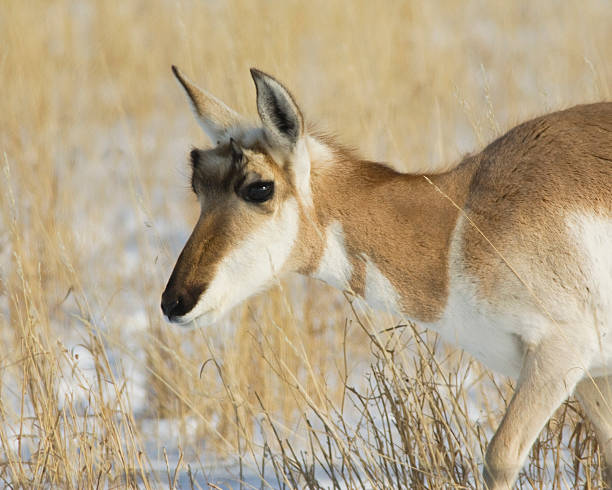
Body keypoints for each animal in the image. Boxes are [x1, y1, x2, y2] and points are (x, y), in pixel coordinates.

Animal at [163, 66, 612, 490]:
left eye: (259, 187)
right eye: (197, 186)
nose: (173, 303)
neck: (458, 220)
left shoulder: (559, 355)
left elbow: (499, 457)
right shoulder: (591, 376)